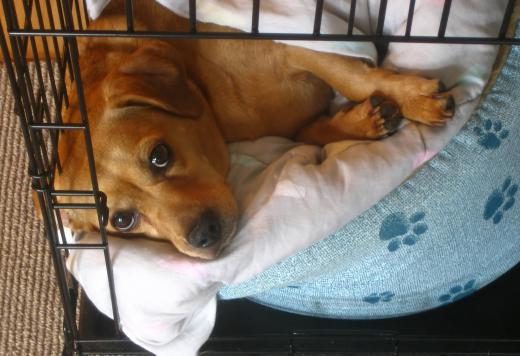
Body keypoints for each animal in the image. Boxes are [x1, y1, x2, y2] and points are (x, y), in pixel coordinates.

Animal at [54, 0, 452, 258]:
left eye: (159, 155)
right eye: (122, 220)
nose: (203, 235)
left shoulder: (298, 41)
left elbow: (353, 78)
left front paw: (414, 98)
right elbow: (307, 132)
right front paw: (361, 122)